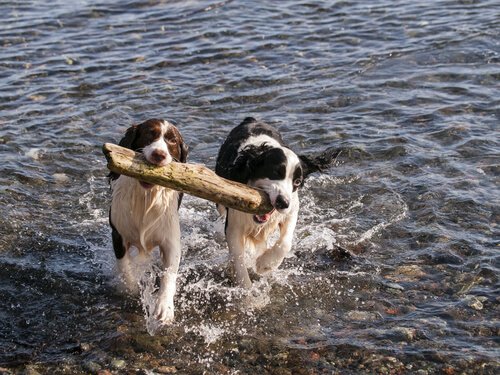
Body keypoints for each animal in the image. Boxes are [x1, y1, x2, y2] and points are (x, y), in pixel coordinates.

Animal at [109, 119, 188, 324]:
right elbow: (124, 267)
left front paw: (164, 308)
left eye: (172, 141)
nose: (159, 155)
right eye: (149, 134)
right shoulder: (118, 234)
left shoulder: (170, 241)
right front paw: (129, 289)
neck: (146, 196)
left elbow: (169, 274)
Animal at [214, 119, 334, 290]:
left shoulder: (292, 209)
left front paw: (265, 264)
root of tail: (251, 119)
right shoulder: (234, 225)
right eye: (276, 172)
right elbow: (238, 258)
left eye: (297, 181)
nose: (282, 202)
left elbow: (285, 243)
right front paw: (248, 291)